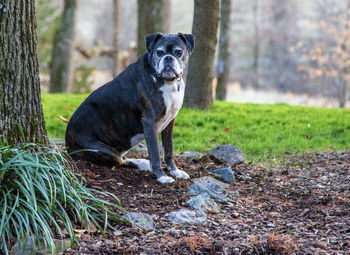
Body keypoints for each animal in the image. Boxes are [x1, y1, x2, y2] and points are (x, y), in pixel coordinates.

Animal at [66, 32, 194, 183]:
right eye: (159, 52)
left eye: (178, 52)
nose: (168, 58)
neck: (169, 82)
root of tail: (67, 142)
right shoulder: (150, 122)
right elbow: (155, 153)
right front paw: (162, 176)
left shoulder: (170, 121)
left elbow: (169, 149)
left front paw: (175, 171)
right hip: (101, 150)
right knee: (120, 161)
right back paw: (143, 163)